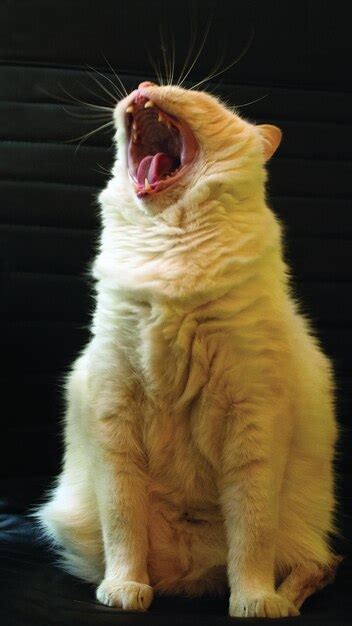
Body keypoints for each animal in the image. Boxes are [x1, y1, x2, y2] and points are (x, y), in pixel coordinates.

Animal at [35, 77, 340, 616]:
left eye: (199, 97)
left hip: (304, 531)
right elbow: (124, 524)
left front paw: (251, 600)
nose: (144, 86)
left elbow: (251, 536)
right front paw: (125, 590)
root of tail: (190, 580)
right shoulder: (115, 413)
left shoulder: (254, 420)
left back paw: (280, 602)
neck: (168, 243)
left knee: (315, 565)